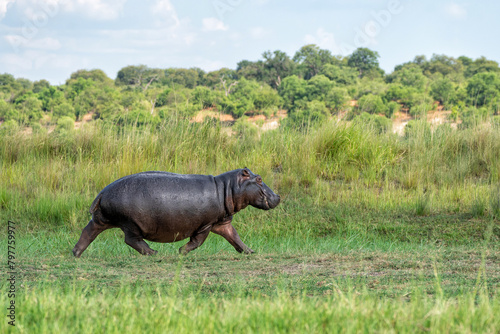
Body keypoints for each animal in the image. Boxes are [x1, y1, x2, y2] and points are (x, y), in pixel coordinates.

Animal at [72, 168, 280, 258]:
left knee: (88, 231)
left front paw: (250, 251)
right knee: (131, 240)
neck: (227, 188)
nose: (278, 196)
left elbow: (235, 237)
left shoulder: (223, 222)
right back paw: (153, 252)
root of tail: (102, 192)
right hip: (131, 224)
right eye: (259, 179)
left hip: (101, 219)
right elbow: (198, 241)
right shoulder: (206, 224)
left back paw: (76, 253)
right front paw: (181, 251)